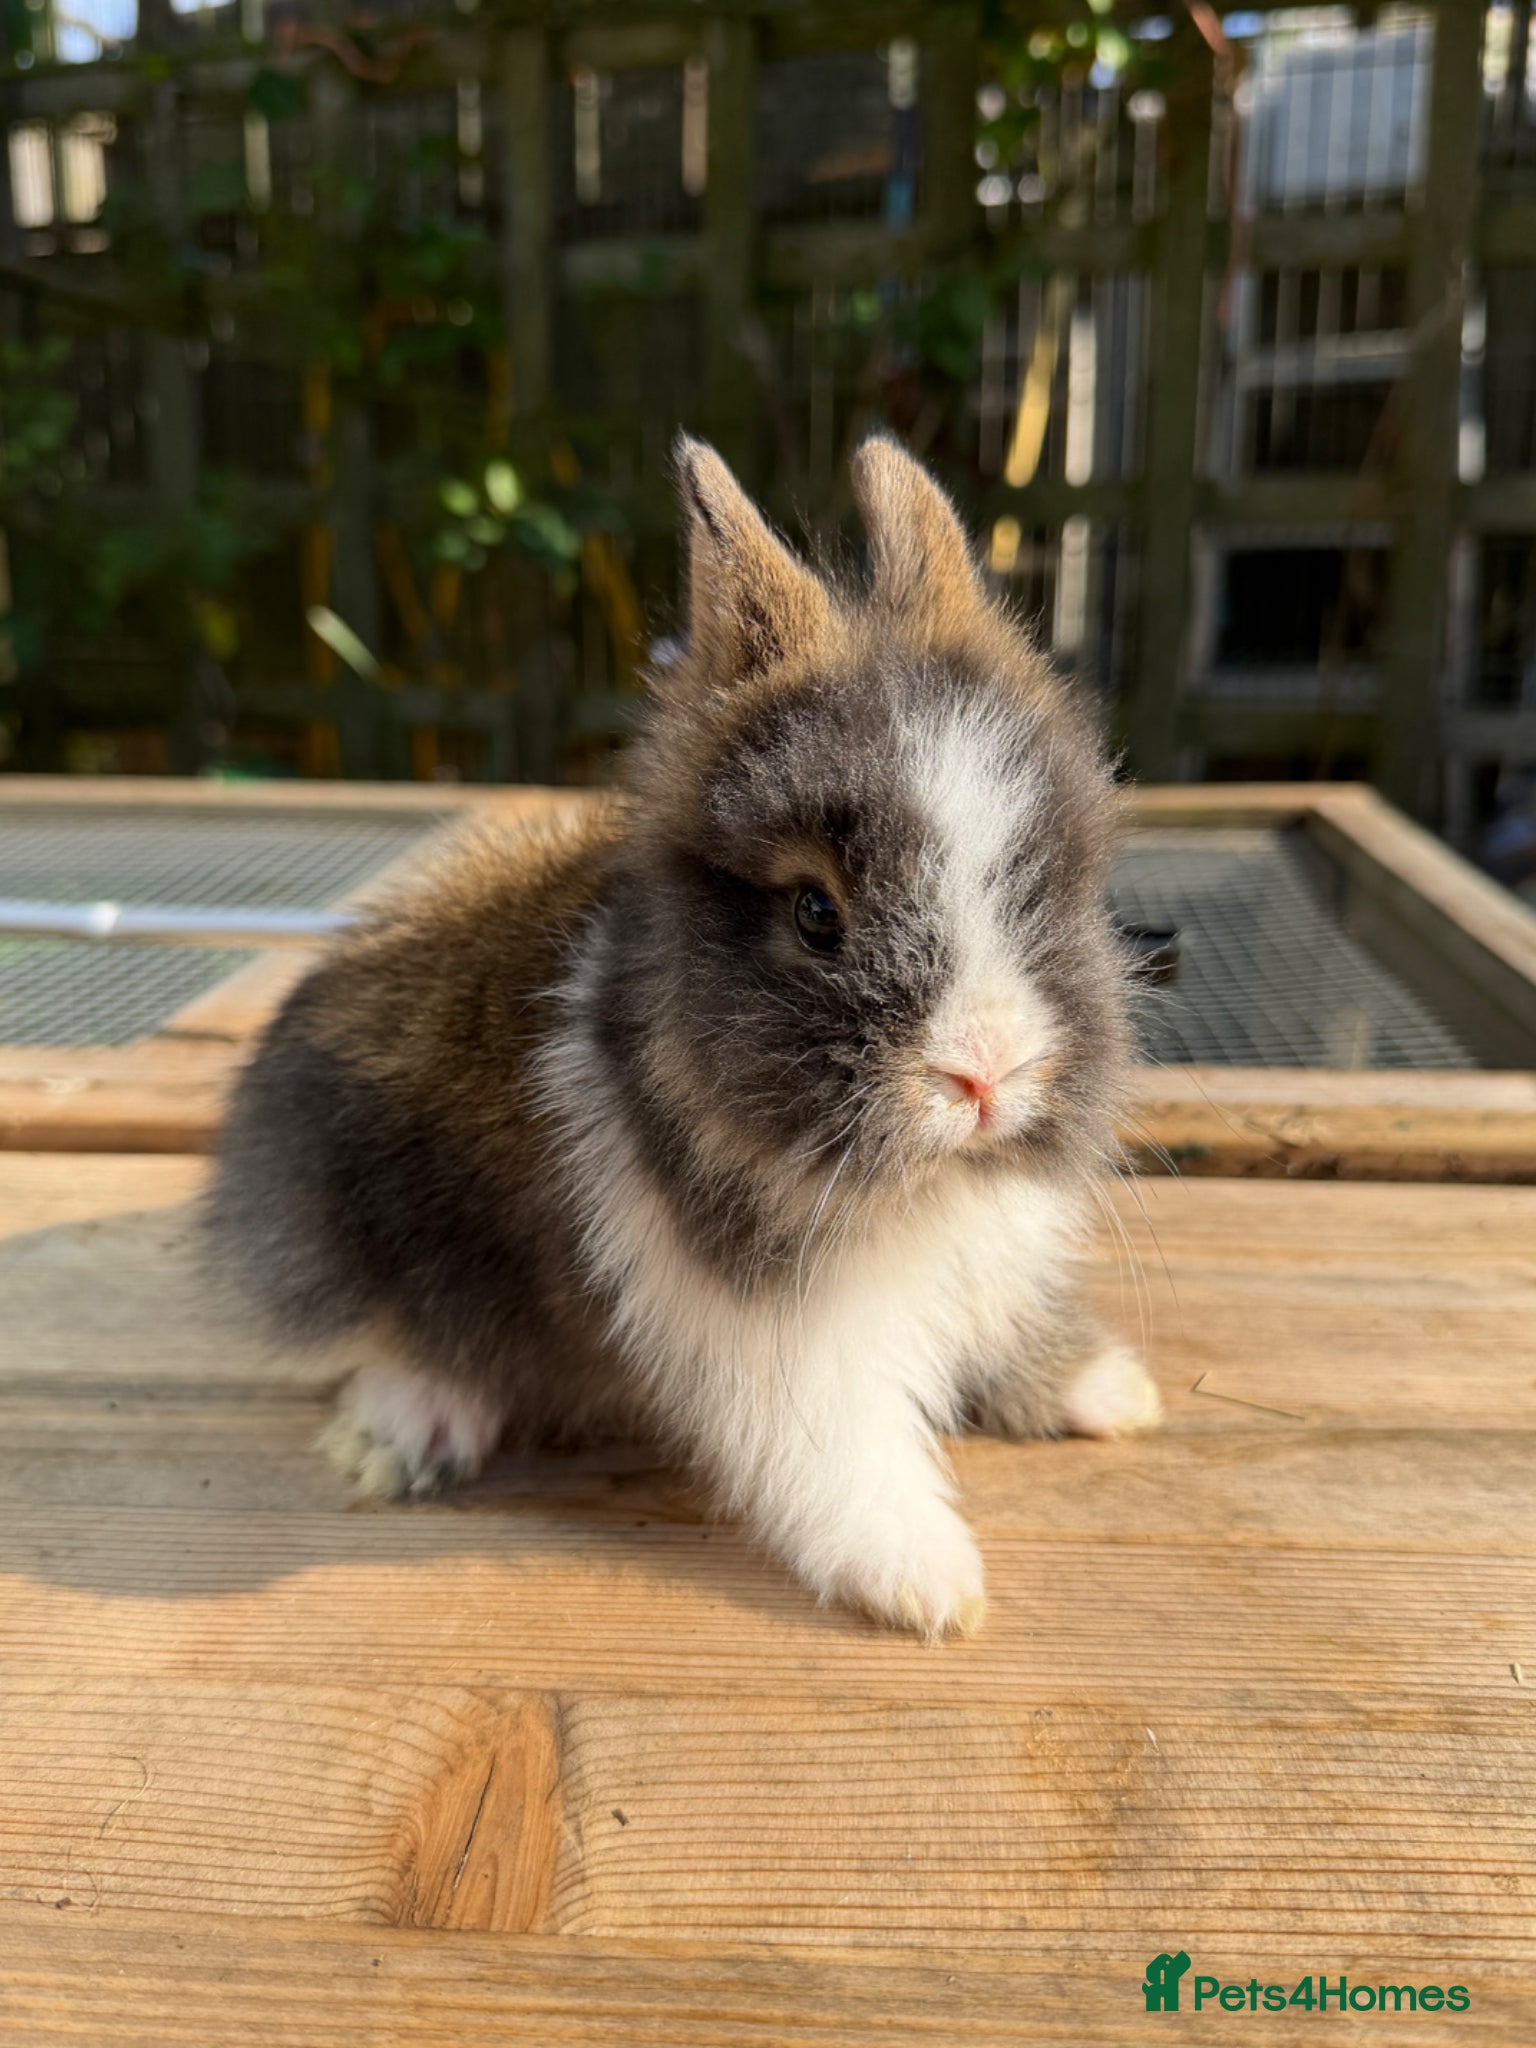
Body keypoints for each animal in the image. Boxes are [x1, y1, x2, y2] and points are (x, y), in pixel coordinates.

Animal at [207, 434, 1161, 1640]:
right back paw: (409, 1430)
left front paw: (1104, 1389)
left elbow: (1000, 1326)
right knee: (386, 1330)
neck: (920, 1191)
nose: (987, 1074)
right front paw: (928, 1584)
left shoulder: (977, 1264)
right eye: (816, 913)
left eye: (1042, 883)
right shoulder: (775, 1340)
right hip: (345, 1216)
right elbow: (841, 1452)